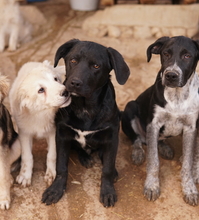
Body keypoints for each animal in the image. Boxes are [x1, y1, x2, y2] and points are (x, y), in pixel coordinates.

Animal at [41, 39, 130, 206]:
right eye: (73, 60)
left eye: (96, 66)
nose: (75, 83)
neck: (84, 108)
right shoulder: (62, 135)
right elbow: (61, 166)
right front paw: (56, 189)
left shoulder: (111, 138)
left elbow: (107, 169)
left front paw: (108, 191)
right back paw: (85, 157)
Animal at [121, 36, 199, 206]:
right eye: (166, 54)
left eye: (187, 56)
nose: (171, 75)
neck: (176, 96)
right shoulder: (153, 125)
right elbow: (153, 161)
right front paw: (152, 186)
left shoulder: (190, 128)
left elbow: (187, 164)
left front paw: (189, 189)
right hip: (130, 107)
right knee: (137, 139)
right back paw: (138, 152)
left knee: (158, 140)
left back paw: (164, 148)